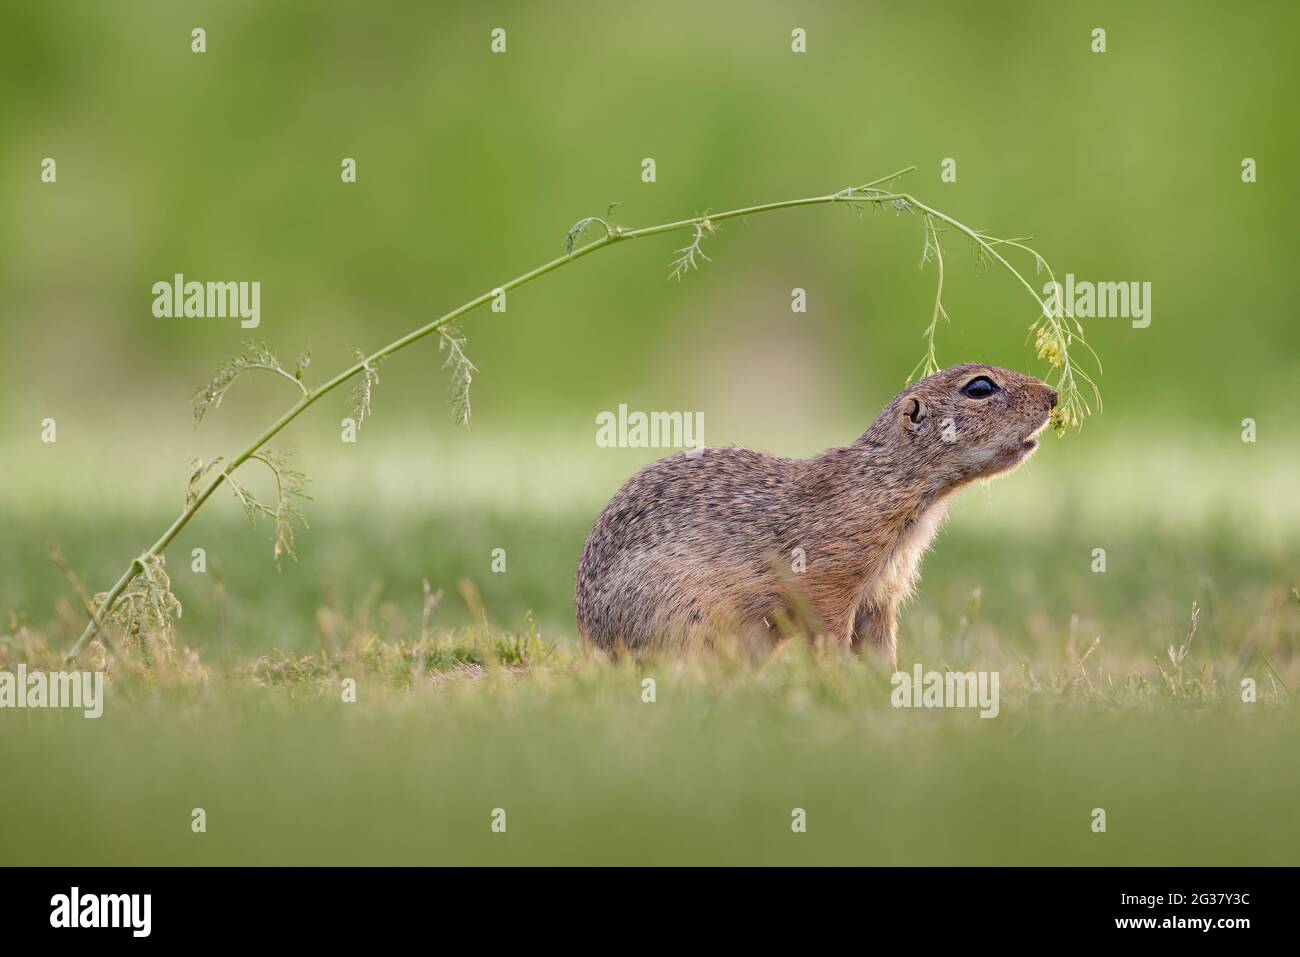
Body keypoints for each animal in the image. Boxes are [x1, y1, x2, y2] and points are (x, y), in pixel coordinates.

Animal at [577, 364, 1055, 657]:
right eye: (980, 387)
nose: (1053, 396)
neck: (891, 480)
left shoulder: (881, 595)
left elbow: (881, 646)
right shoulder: (829, 577)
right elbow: (829, 633)